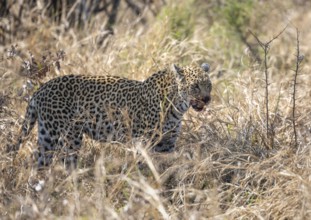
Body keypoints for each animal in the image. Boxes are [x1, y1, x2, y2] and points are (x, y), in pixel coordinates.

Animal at [16, 62, 212, 168]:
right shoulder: (142, 142)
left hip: (47, 135)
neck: (177, 106)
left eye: (209, 85)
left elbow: (166, 167)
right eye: (195, 86)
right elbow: (143, 166)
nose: (207, 98)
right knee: (67, 163)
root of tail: (41, 89)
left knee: (41, 161)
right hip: (67, 136)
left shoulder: (167, 144)